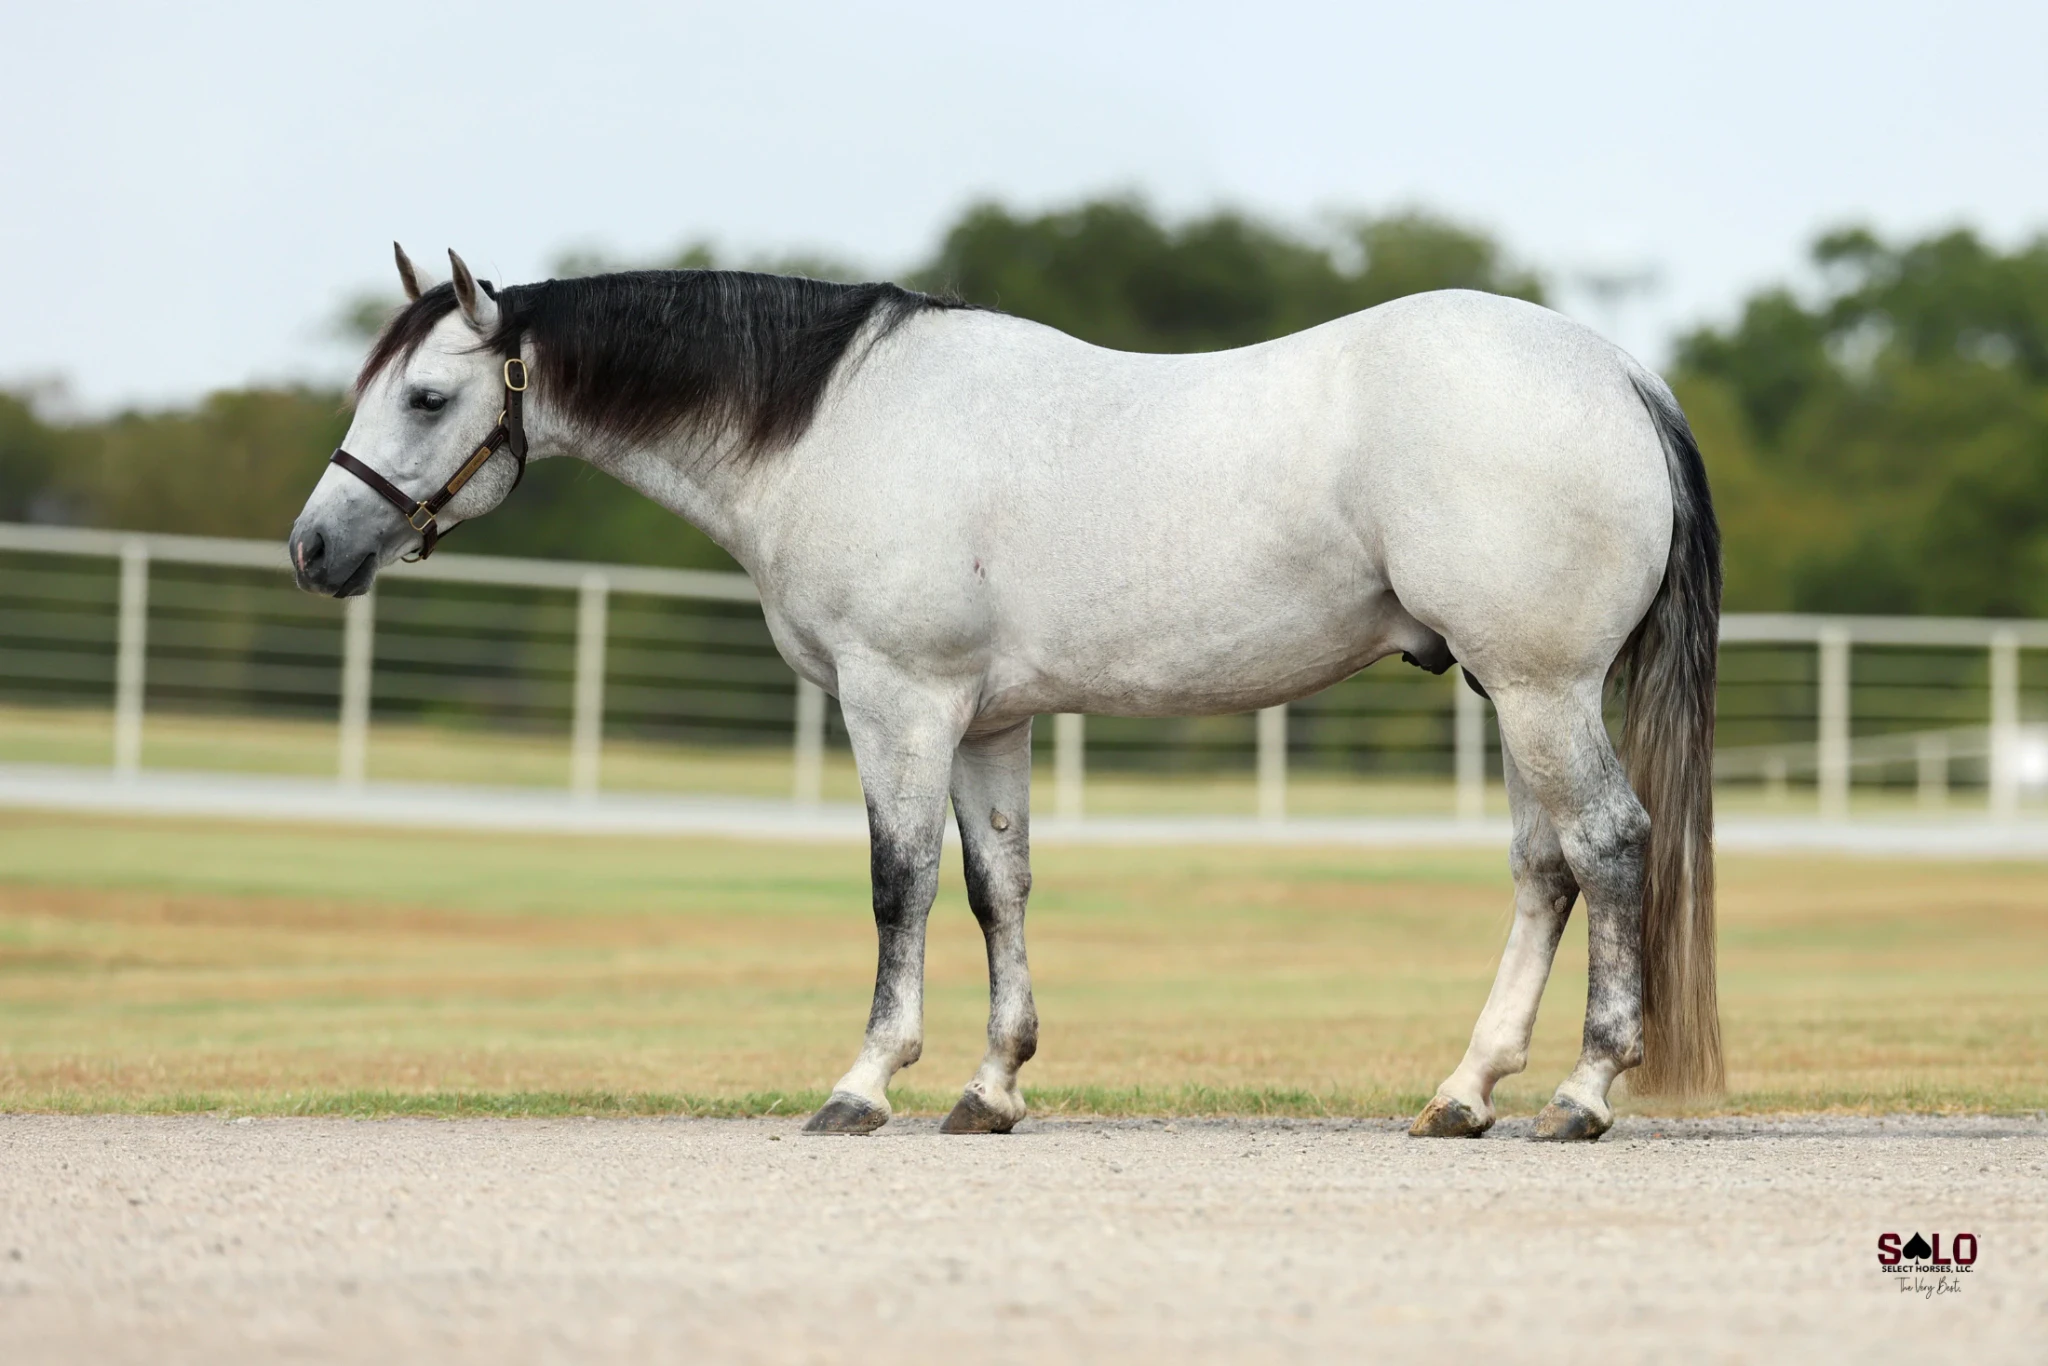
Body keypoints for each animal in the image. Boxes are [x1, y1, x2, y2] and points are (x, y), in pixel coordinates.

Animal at [289, 244, 1722, 1142]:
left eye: (429, 395)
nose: (313, 549)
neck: (832, 422)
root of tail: (1618, 374)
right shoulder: (987, 721)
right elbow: (998, 889)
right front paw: (990, 1089)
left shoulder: (899, 701)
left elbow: (899, 884)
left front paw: (865, 1083)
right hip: (1516, 692)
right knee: (1544, 870)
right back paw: (1463, 1090)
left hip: (1539, 689)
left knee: (1607, 846)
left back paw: (1582, 1095)